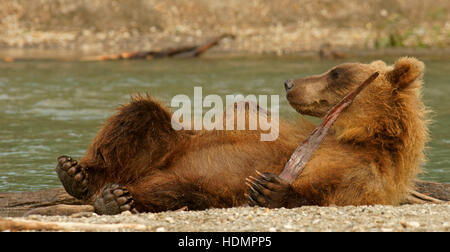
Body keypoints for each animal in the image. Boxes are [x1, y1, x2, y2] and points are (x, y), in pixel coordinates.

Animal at [56, 56, 428, 214]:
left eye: (335, 73)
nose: (289, 82)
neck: (359, 136)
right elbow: (246, 120)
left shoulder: (368, 174)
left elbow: (332, 194)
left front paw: (271, 189)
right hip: (168, 148)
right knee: (140, 114)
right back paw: (78, 175)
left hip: (195, 186)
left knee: (173, 192)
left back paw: (113, 199)